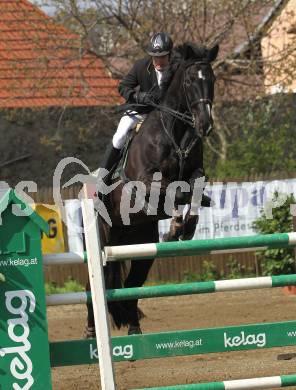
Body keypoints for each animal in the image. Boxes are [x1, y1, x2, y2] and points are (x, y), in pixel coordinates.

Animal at [84, 42, 219, 336]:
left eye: (212, 79)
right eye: (190, 81)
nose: (205, 125)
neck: (176, 133)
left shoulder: (196, 173)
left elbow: (192, 188)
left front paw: (187, 227)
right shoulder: (145, 182)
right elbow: (173, 192)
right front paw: (176, 228)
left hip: (141, 246)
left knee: (132, 285)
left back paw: (134, 329)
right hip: (104, 240)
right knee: (94, 284)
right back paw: (90, 331)